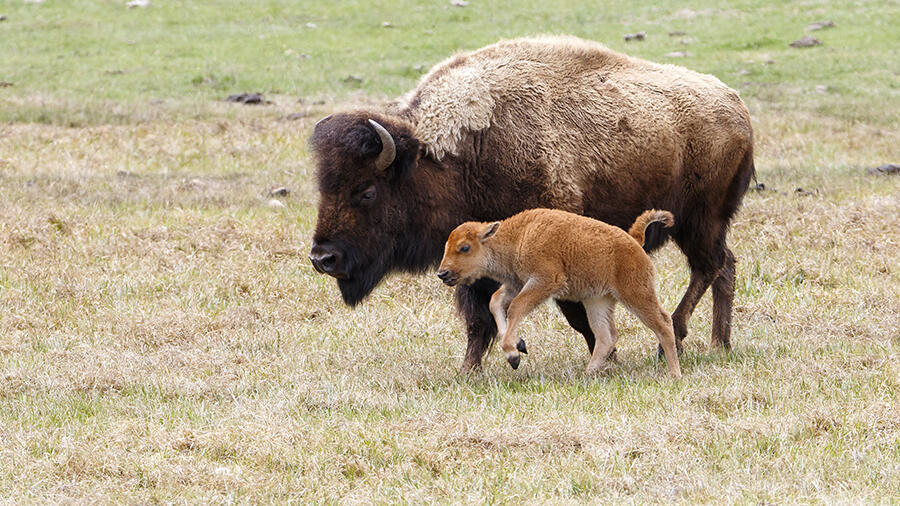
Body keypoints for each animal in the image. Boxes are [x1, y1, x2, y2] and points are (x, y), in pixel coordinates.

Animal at [438, 208, 684, 378]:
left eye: (464, 247)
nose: (443, 273)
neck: (518, 236)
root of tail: (634, 240)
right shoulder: (517, 284)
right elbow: (495, 302)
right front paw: (518, 346)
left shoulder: (543, 282)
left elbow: (515, 307)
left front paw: (513, 355)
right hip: (597, 301)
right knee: (606, 336)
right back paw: (588, 373)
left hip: (635, 294)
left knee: (663, 323)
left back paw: (674, 374)